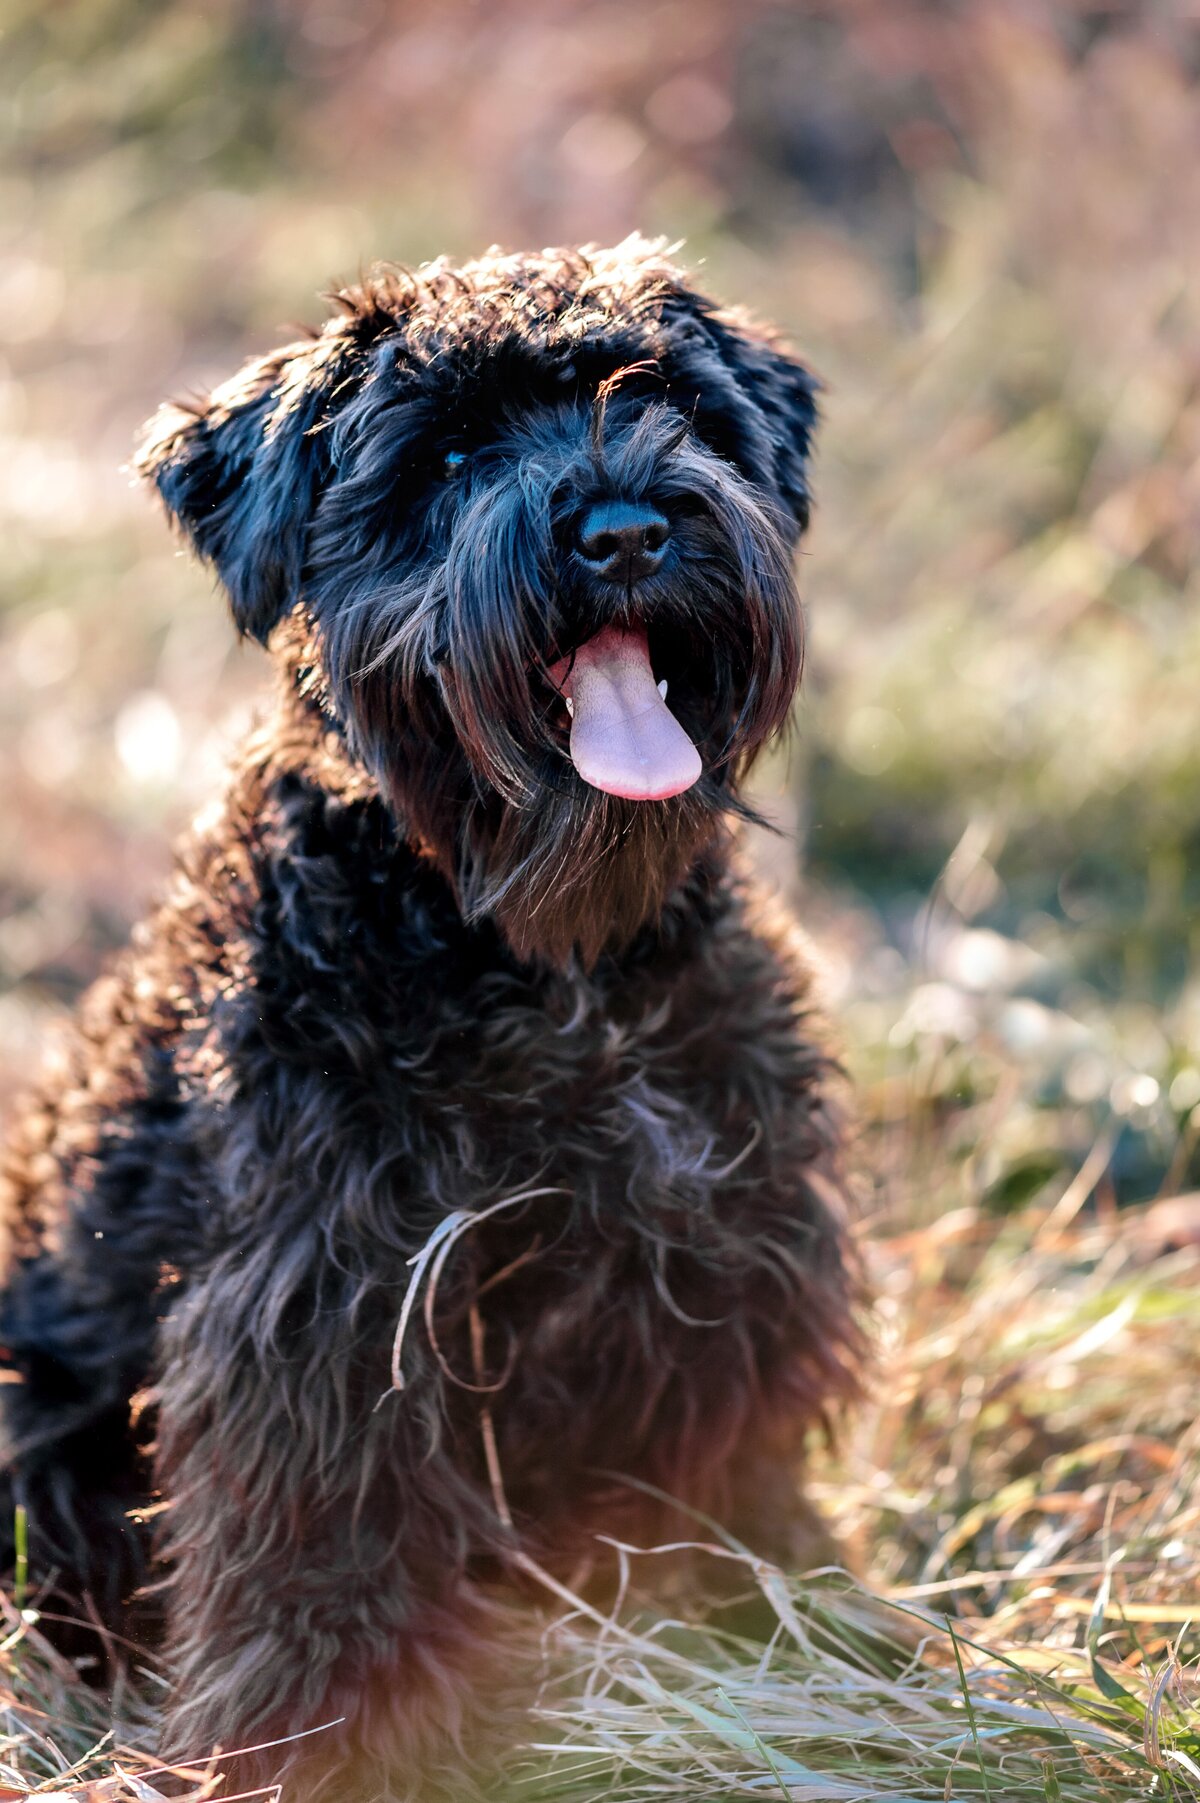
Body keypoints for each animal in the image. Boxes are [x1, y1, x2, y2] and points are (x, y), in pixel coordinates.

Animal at [0, 243, 861, 1803]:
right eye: (449, 453)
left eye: (672, 402)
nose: (624, 529)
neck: (546, 959)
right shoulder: (326, 1307)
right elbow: (323, 1553)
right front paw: (318, 1749)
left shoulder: (737, 1251)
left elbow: (732, 1481)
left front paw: (792, 1624)